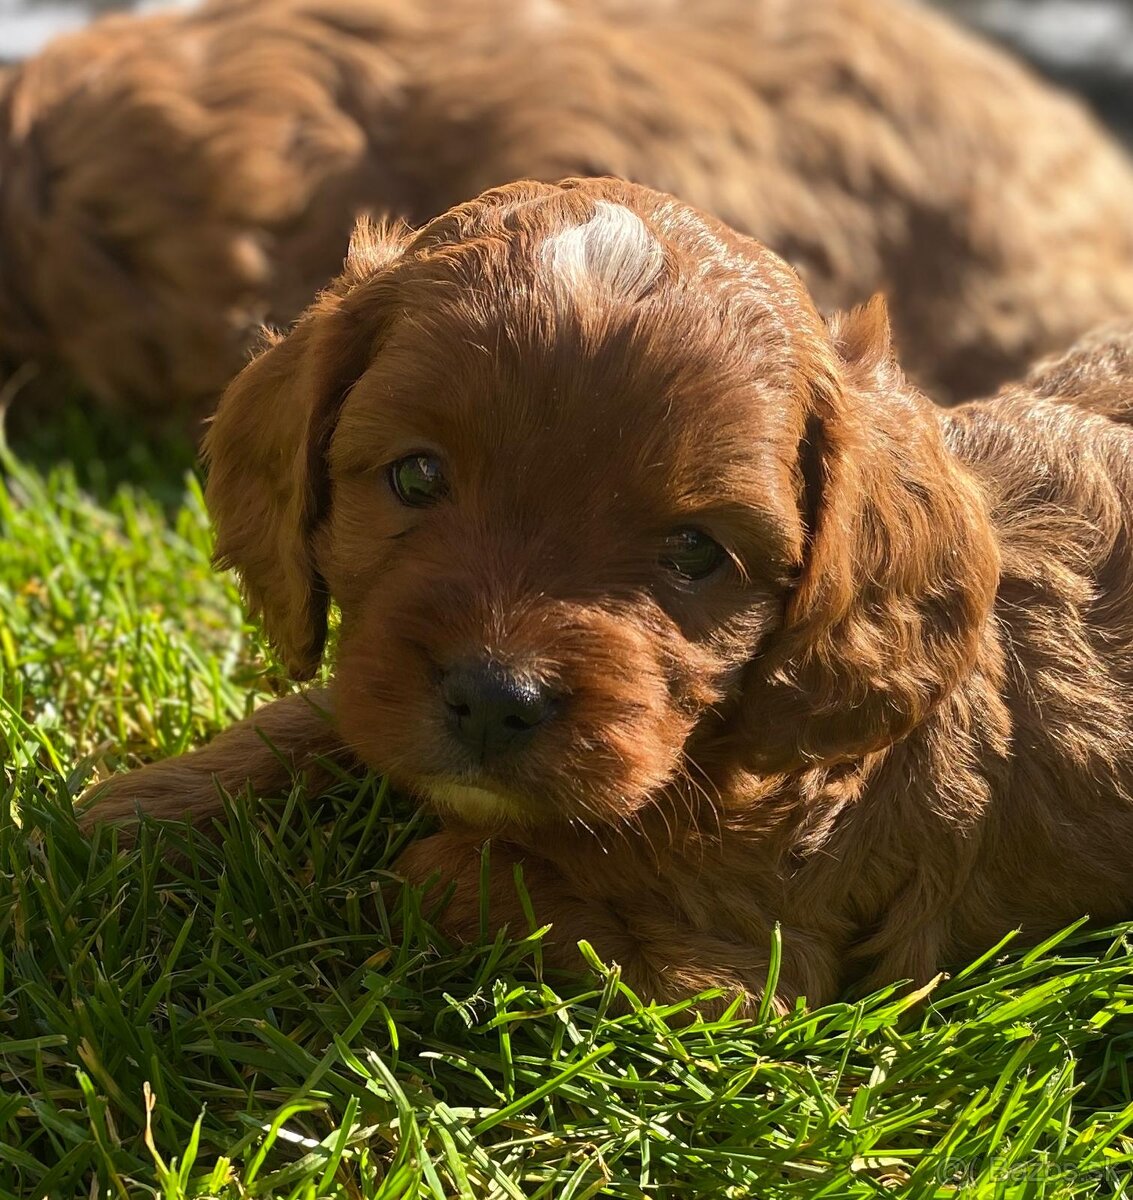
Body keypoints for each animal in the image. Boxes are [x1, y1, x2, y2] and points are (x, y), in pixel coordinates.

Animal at [81, 174, 1133, 1008]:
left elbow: (448, 870)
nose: (493, 701)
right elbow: (317, 719)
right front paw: (133, 811)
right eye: (416, 476)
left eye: (694, 551)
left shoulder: (736, 968)